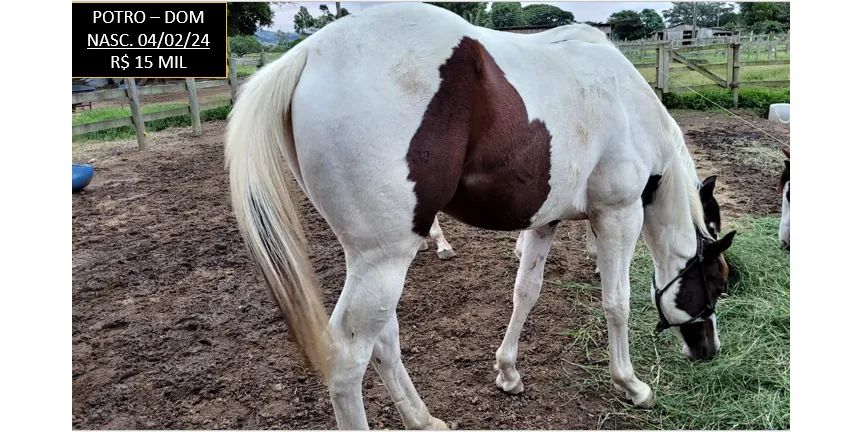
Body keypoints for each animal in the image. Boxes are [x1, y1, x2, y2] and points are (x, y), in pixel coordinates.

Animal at [225, 4, 736, 429]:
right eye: (717, 283)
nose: (709, 350)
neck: (629, 107)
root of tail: (306, 54)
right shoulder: (618, 215)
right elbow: (617, 302)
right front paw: (631, 385)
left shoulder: (545, 221)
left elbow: (525, 292)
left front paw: (508, 372)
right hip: (384, 258)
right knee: (350, 356)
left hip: (373, 260)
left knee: (383, 338)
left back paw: (423, 419)